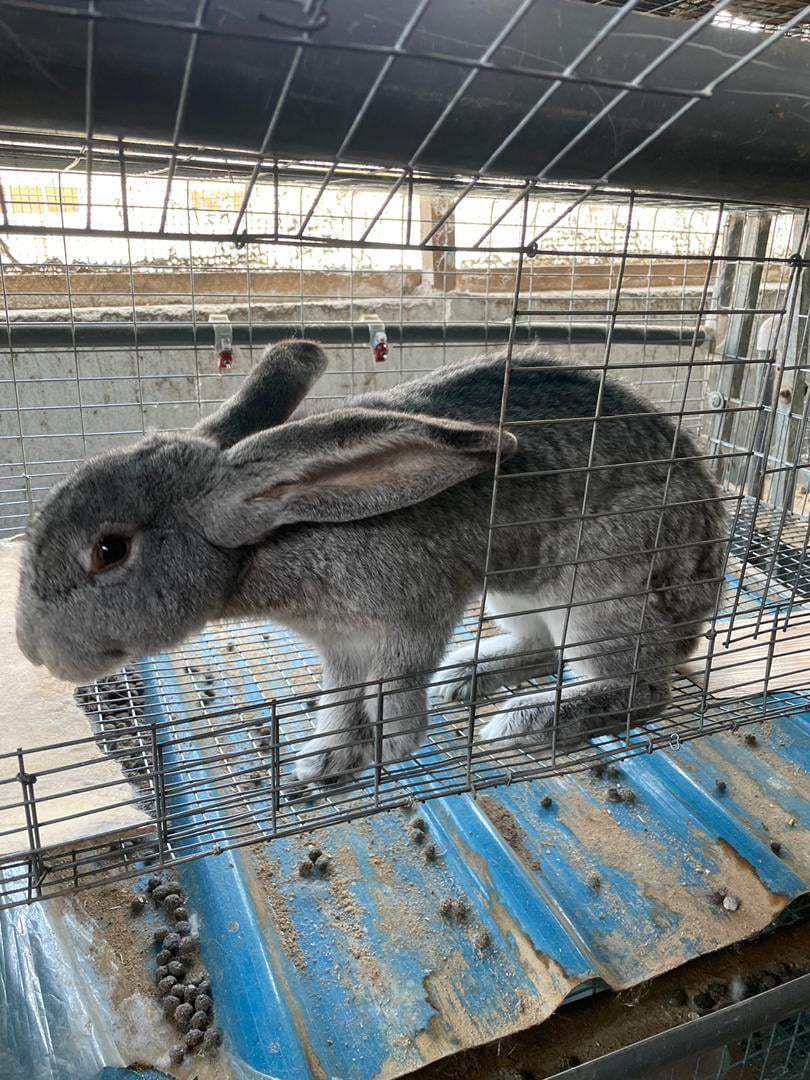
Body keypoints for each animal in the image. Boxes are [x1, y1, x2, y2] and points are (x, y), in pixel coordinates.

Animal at [16, 339, 727, 786]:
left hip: (597, 593)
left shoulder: (416, 617)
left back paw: (527, 720)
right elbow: (339, 701)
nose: (29, 650)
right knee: (540, 648)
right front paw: (324, 762)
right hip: (516, 594)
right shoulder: (339, 649)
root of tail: (701, 597)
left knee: (642, 687)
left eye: (108, 551)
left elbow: (394, 691)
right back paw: (468, 678)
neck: (274, 534)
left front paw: (393, 744)